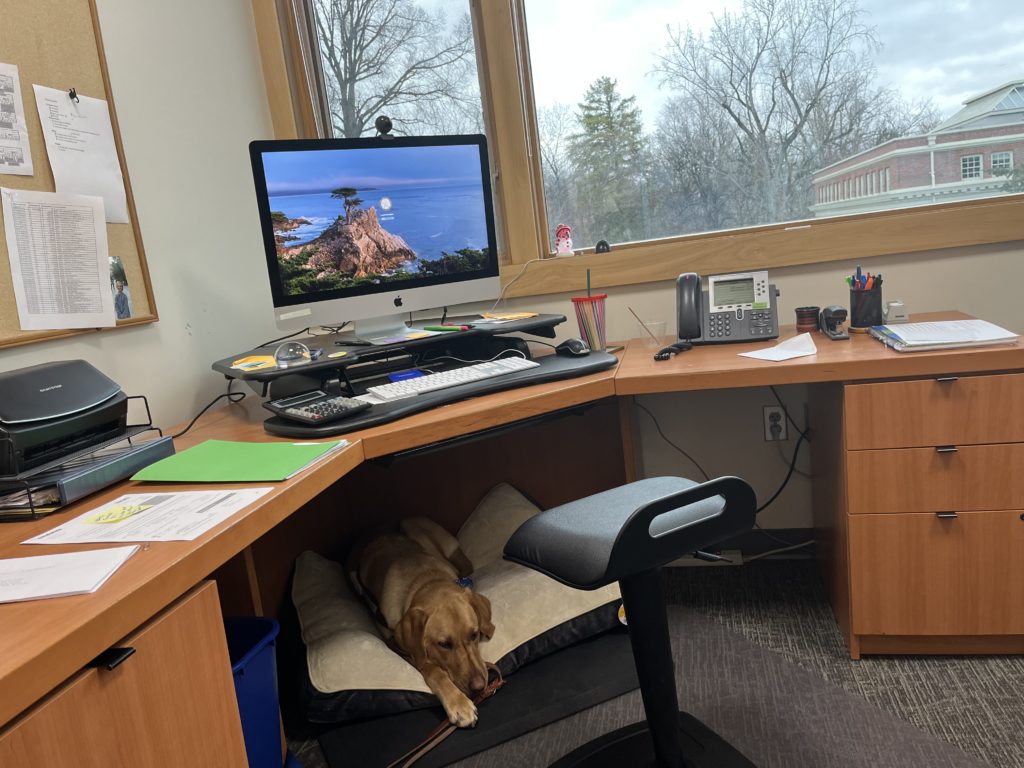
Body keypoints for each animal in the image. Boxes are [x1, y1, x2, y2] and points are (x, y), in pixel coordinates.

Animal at [354, 518, 493, 729]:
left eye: (474, 634)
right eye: (444, 644)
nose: (479, 687)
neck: (425, 578)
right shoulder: (400, 648)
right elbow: (432, 669)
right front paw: (458, 703)